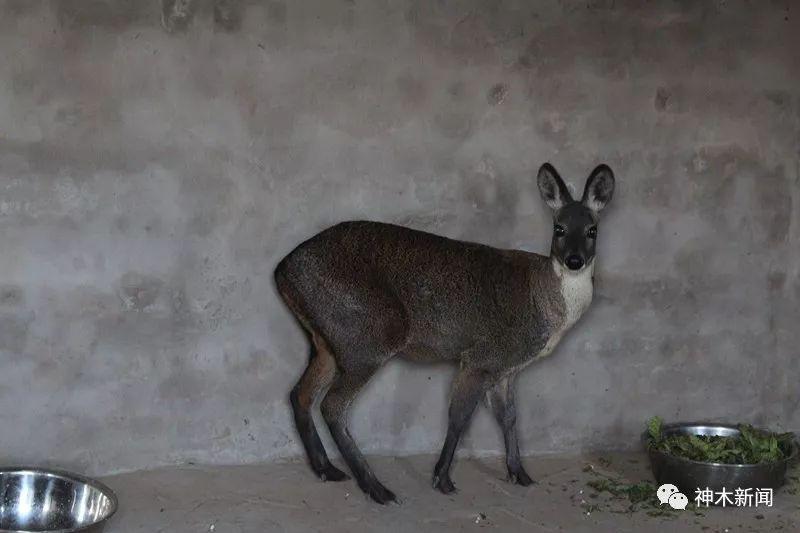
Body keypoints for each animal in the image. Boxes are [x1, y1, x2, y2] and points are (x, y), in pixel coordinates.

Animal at [276, 163, 620, 502]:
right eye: (559, 228)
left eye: (592, 230)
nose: (574, 260)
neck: (545, 305)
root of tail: (280, 271)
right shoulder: (482, 356)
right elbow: (459, 416)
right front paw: (442, 478)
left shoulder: (506, 368)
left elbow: (509, 417)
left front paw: (520, 474)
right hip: (370, 333)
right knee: (332, 405)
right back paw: (376, 488)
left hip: (327, 342)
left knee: (300, 393)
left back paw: (327, 469)